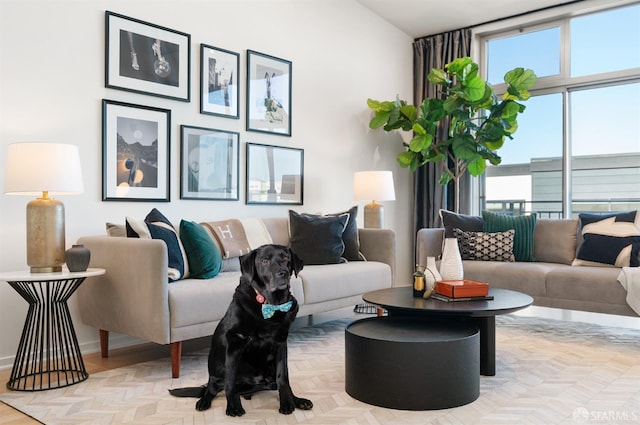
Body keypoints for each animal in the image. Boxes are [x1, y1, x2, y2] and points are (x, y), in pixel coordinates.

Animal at [169, 243, 312, 416]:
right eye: (264, 260)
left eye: (285, 258)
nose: (282, 273)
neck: (270, 304)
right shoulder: (235, 343)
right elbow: (230, 383)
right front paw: (232, 407)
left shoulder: (281, 344)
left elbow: (283, 377)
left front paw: (288, 401)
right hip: (215, 367)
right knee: (213, 387)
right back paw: (204, 401)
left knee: (262, 385)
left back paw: (296, 400)